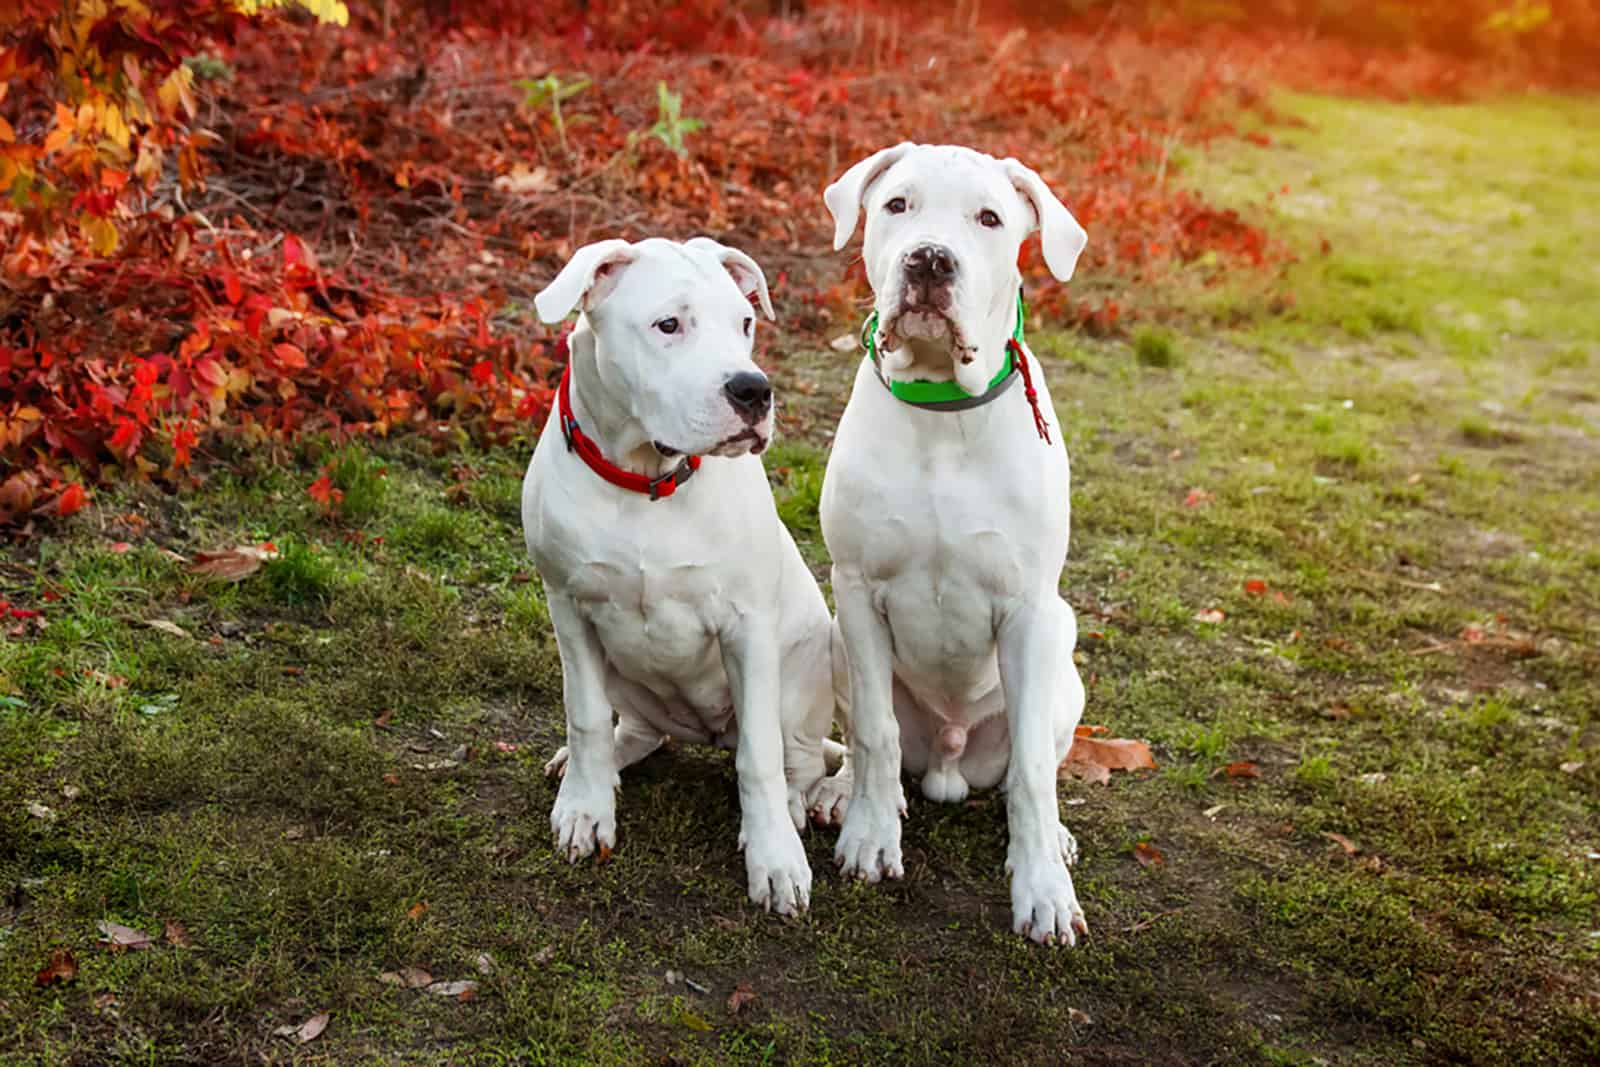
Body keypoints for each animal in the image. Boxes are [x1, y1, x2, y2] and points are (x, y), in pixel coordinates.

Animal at [524, 238, 851, 915]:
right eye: (668, 325)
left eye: (746, 324)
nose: (755, 391)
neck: (644, 480)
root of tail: (706, 733)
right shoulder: (568, 608)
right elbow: (585, 716)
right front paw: (585, 807)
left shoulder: (747, 627)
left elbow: (758, 758)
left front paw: (774, 858)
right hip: (624, 677)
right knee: (636, 730)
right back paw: (600, 764)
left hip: (800, 679)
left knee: (795, 759)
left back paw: (792, 807)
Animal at [819, 143, 1094, 940]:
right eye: (897, 205)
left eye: (990, 218)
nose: (931, 260)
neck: (942, 405)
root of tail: (946, 761)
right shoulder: (857, 588)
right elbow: (874, 732)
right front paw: (871, 836)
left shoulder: (1029, 611)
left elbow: (1031, 770)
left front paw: (1043, 888)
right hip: (837, 638)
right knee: (870, 737)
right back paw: (845, 791)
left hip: (1064, 658)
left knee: (1036, 767)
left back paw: (1056, 837)